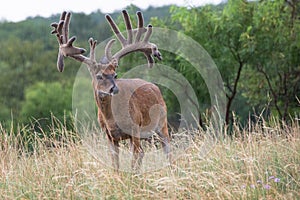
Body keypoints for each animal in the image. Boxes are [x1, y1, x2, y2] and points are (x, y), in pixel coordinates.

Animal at [51, 10, 171, 171]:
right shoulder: (109, 136)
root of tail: (155, 87)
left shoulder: (134, 128)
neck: (111, 118)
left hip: (161, 124)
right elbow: (115, 163)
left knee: (166, 150)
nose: (114, 88)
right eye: (99, 76)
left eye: (115, 75)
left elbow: (136, 158)